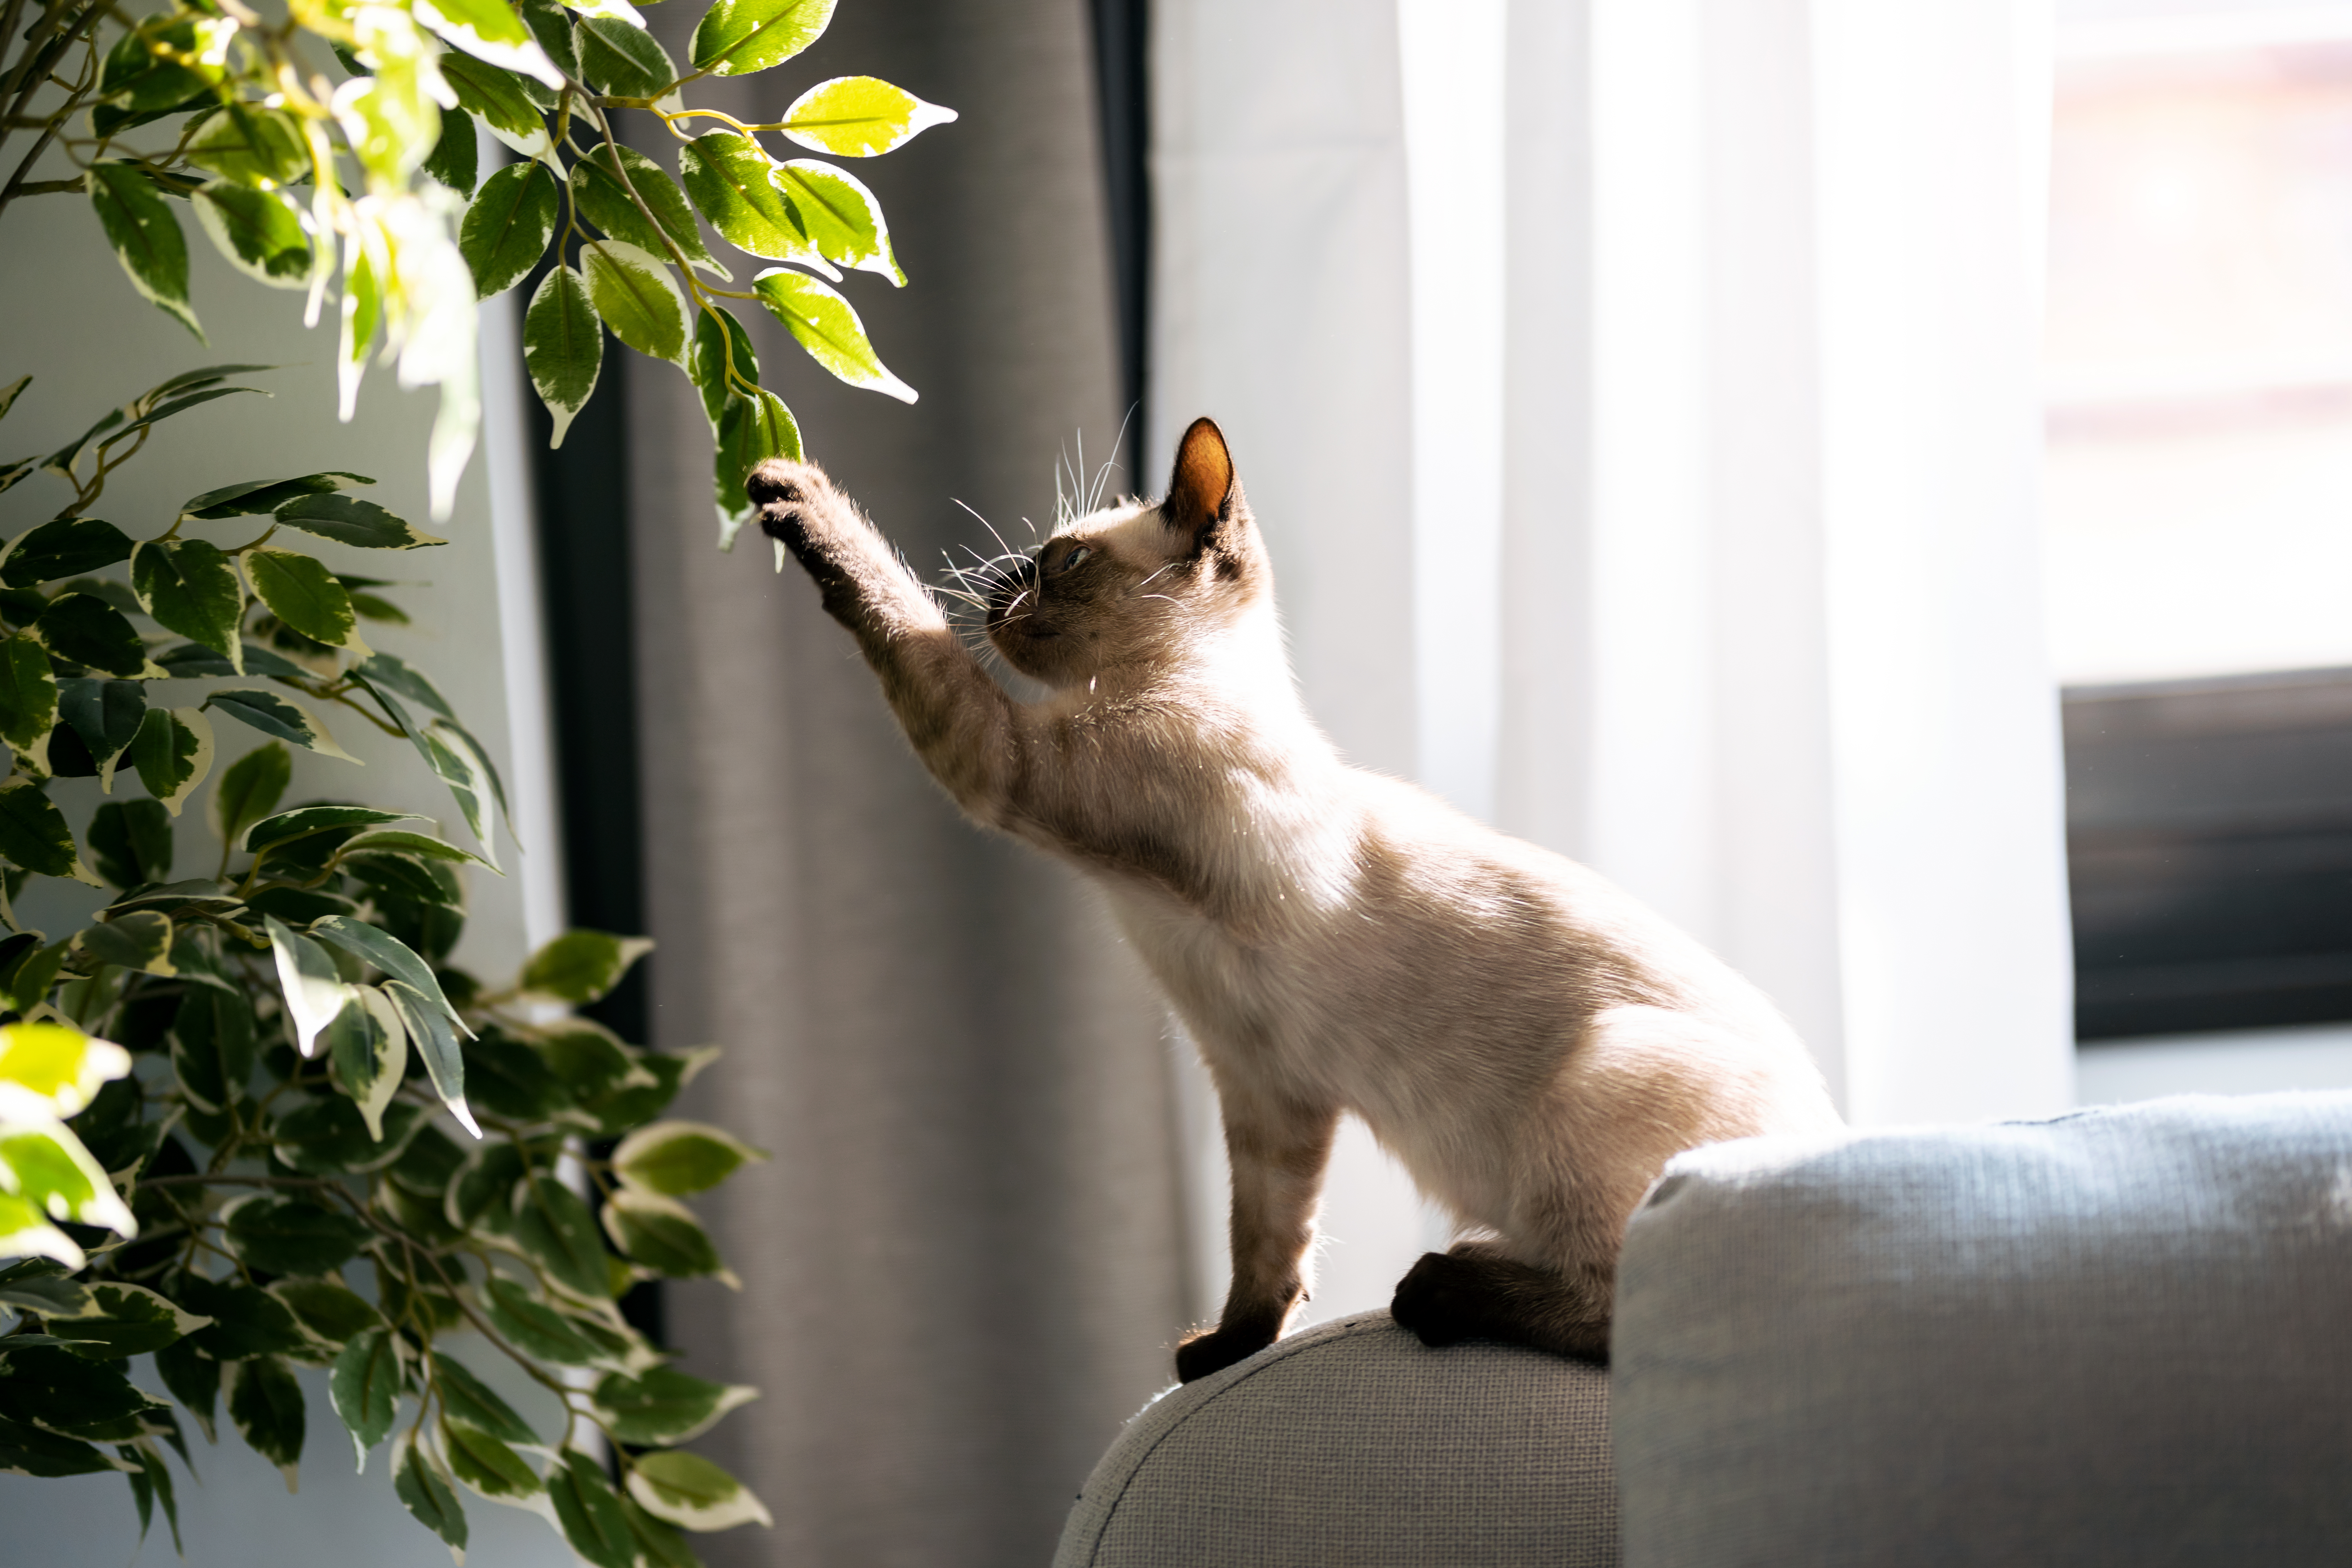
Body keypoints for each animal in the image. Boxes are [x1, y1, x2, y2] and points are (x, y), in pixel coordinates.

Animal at [753, 420, 1834, 1382]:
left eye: (1060, 561)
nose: (994, 585)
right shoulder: (1264, 1085)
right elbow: (1264, 1243)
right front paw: (1224, 1354)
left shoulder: (1002, 766)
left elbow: (896, 614)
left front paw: (790, 490)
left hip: (1597, 1075)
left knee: (1621, 1310)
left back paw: (1435, 1291)